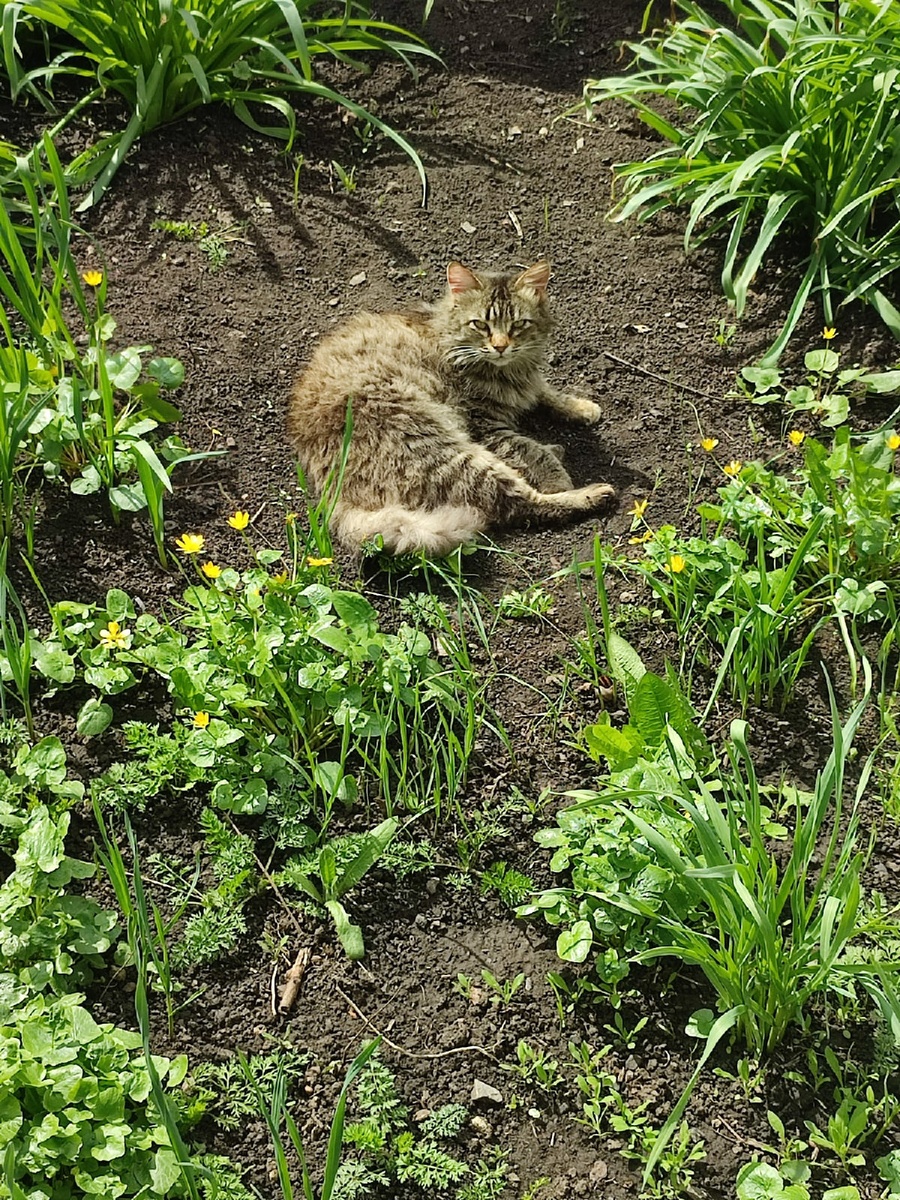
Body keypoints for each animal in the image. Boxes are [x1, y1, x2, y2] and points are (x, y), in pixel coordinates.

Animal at [286, 260, 615, 555]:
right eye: (480, 325)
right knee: (519, 502)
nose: (500, 346)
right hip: (448, 449)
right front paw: (557, 478)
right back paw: (587, 493)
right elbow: (530, 449)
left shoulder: (526, 384)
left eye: (519, 325)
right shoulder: (486, 426)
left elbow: (545, 392)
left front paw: (580, 406)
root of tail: (333, 494)